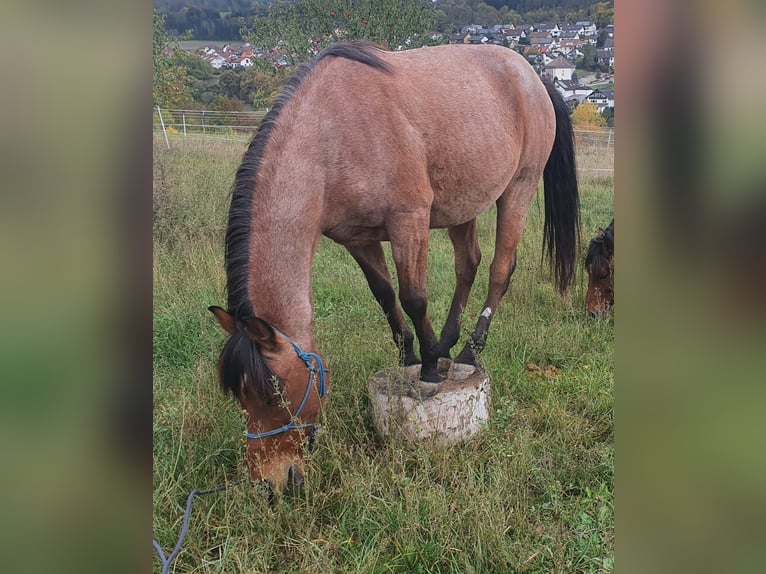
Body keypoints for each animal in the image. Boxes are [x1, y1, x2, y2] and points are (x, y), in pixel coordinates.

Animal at [209, 42, 580, 490]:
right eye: (239, 395)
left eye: (274, 392)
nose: (270, 482)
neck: (331, 133)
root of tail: (532, 76)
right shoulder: (358, 238)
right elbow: (385, 295)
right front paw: (411, 356)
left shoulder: (409, 221)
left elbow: (414, 297)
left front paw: (431, 369)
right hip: (462, 205)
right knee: (468, 265)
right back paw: (449, 341)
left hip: (518, 188)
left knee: (499, 269)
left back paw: (469, 350)